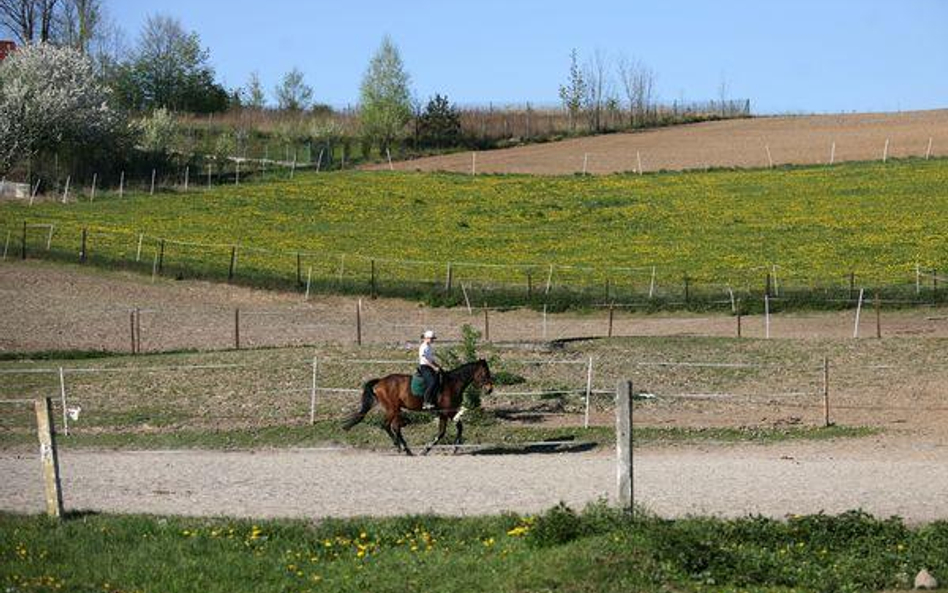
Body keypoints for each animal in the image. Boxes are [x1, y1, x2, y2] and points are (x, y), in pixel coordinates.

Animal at [342, 358, 496, 456]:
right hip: (392, 409)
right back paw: (399, 446)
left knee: (395, 427)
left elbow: (446, 431)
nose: (489, 389)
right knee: (386, 425)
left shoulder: (444, 413)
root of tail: (380, 382)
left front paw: (445, 448)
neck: (452, 384)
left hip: (396, 409)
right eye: (485, 373)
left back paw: (407, 450)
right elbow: (454, 429)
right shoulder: (447, 412)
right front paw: (450, 448)